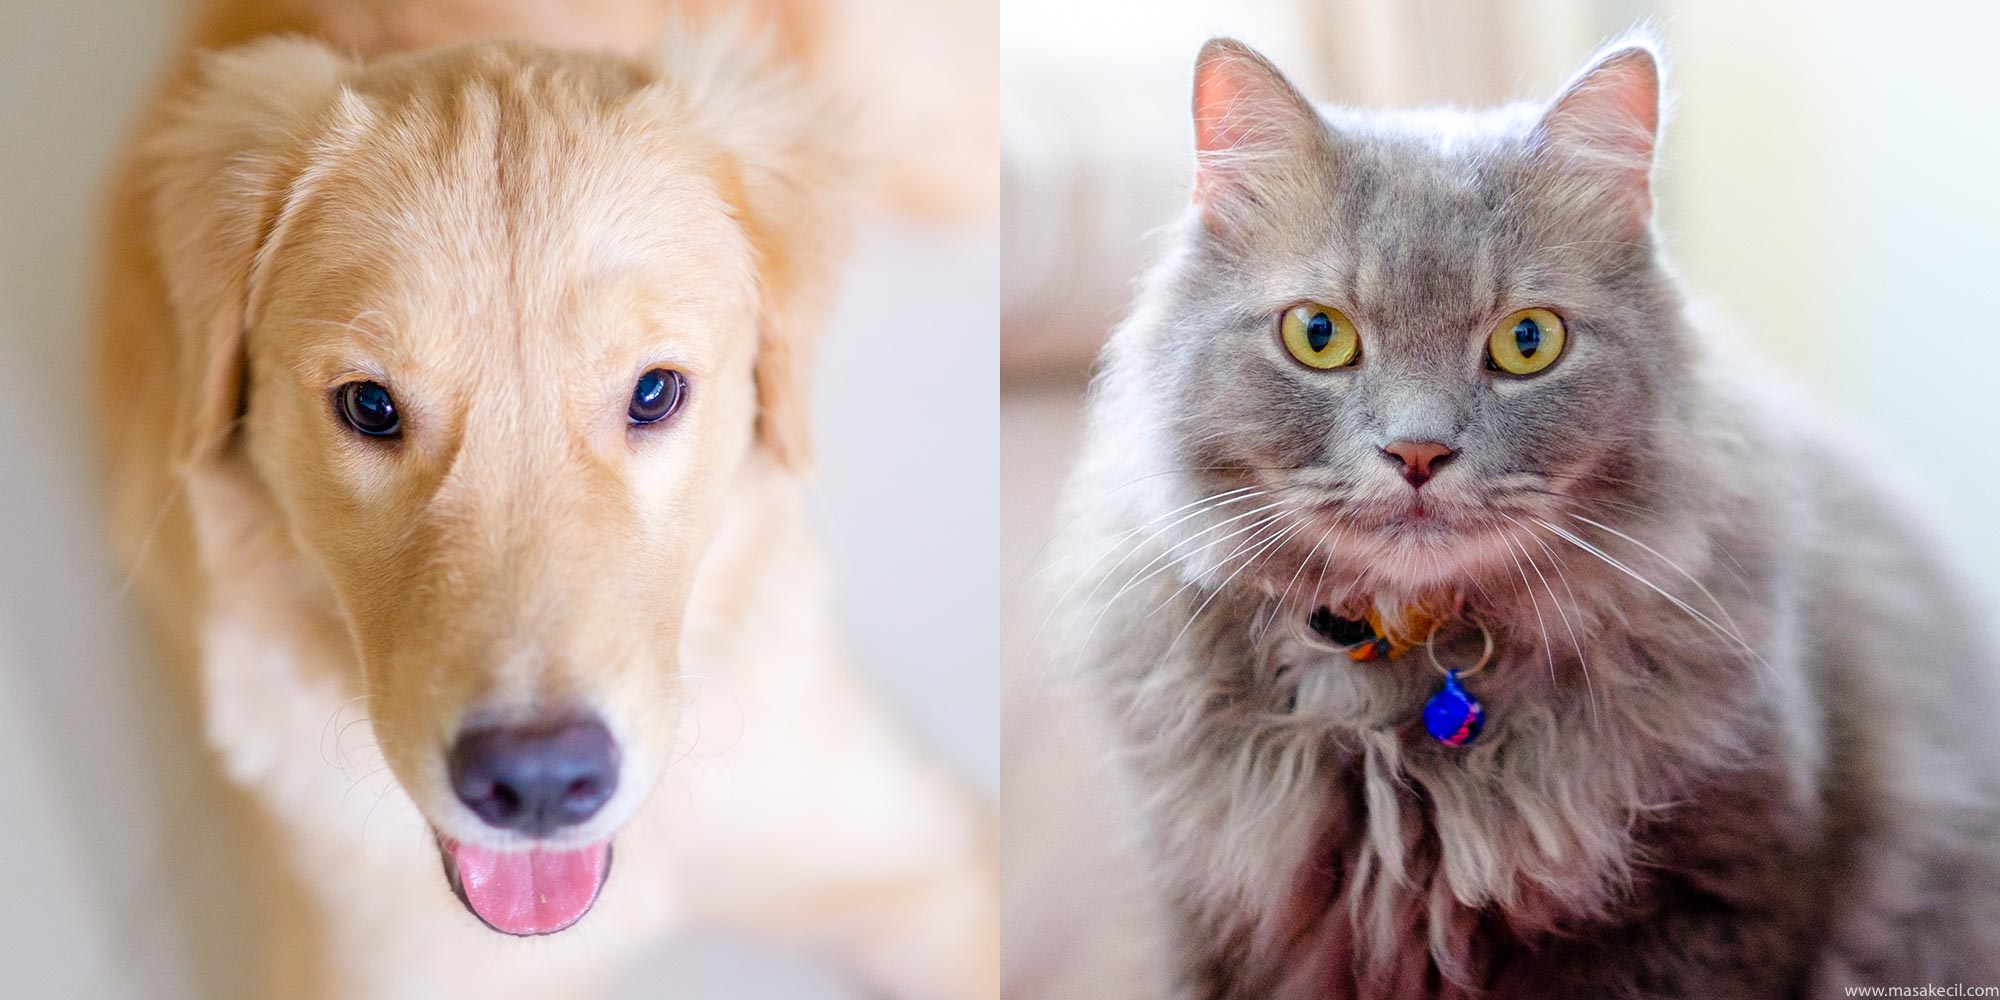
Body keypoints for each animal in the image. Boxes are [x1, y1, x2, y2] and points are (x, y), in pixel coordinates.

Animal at [1048, 33, 2000, 1000]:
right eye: (1320, 335)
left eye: (1527, 342)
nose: (1418, 452)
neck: (1405, 685)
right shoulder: (1218, 912)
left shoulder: (1713, 894)